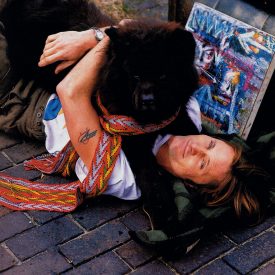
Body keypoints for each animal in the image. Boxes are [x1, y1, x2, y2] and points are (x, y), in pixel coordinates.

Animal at [1, 0, 201, 229]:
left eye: (163, 76)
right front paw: (164, 212)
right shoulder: (130, 140)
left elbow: (195, 133)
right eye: (135, 75)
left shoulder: (178, 116)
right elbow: (151, 176)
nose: (147, 100)